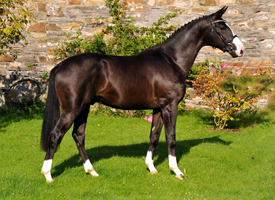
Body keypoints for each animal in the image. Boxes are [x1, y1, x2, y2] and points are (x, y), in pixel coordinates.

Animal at [40, 7, 244, 183]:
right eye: (222, 27)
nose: (240, 49)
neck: (171, 60)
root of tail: (60, 65)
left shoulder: (158, 108)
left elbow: (154, 136)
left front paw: (151, 168)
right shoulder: (170, 105)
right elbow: (171, 137)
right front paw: (176, 171)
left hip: (84, 108)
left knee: (78, 136)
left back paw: (92, 171)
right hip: (72, 109)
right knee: (56, 135)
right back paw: (48, 175)